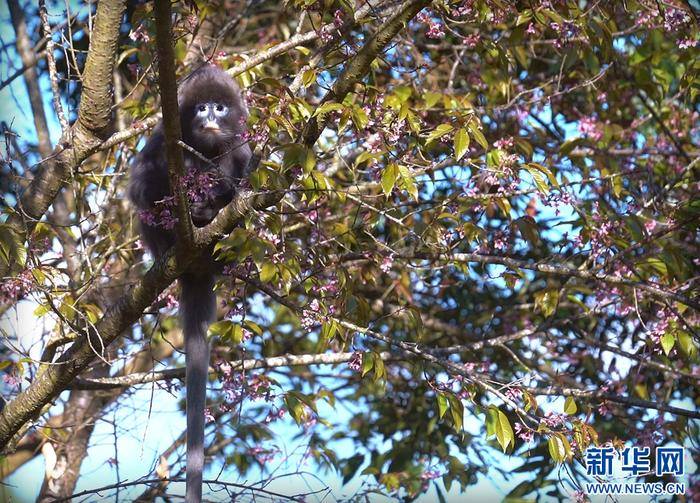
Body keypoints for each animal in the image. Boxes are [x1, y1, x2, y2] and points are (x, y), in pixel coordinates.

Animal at [129, 64, 252, 503]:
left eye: (219, 106)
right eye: (200, 108)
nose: (210, 116)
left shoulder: (243, 147)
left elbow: (245, 178)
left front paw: (218, 196)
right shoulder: (163, 138)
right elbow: (142, 183)